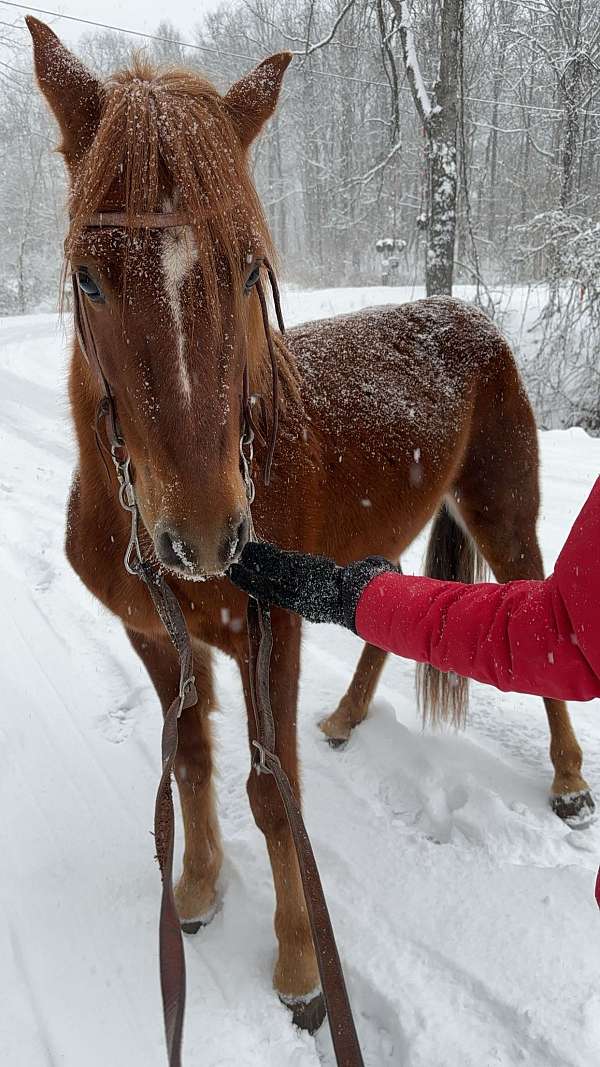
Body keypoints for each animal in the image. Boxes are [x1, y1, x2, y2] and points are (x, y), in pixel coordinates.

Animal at [29, 16, 593, 1032]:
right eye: (88, 280)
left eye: (248, 267)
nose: (207, 537)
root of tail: (467, 317)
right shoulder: (155, 637)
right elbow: (192, 758)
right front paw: (197, 890)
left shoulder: (271, 632)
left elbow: (269, 791)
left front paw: (300, 967)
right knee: (387, 606)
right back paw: (349, 712)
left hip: (502, 511)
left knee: (534, 617)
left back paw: (568, 780)